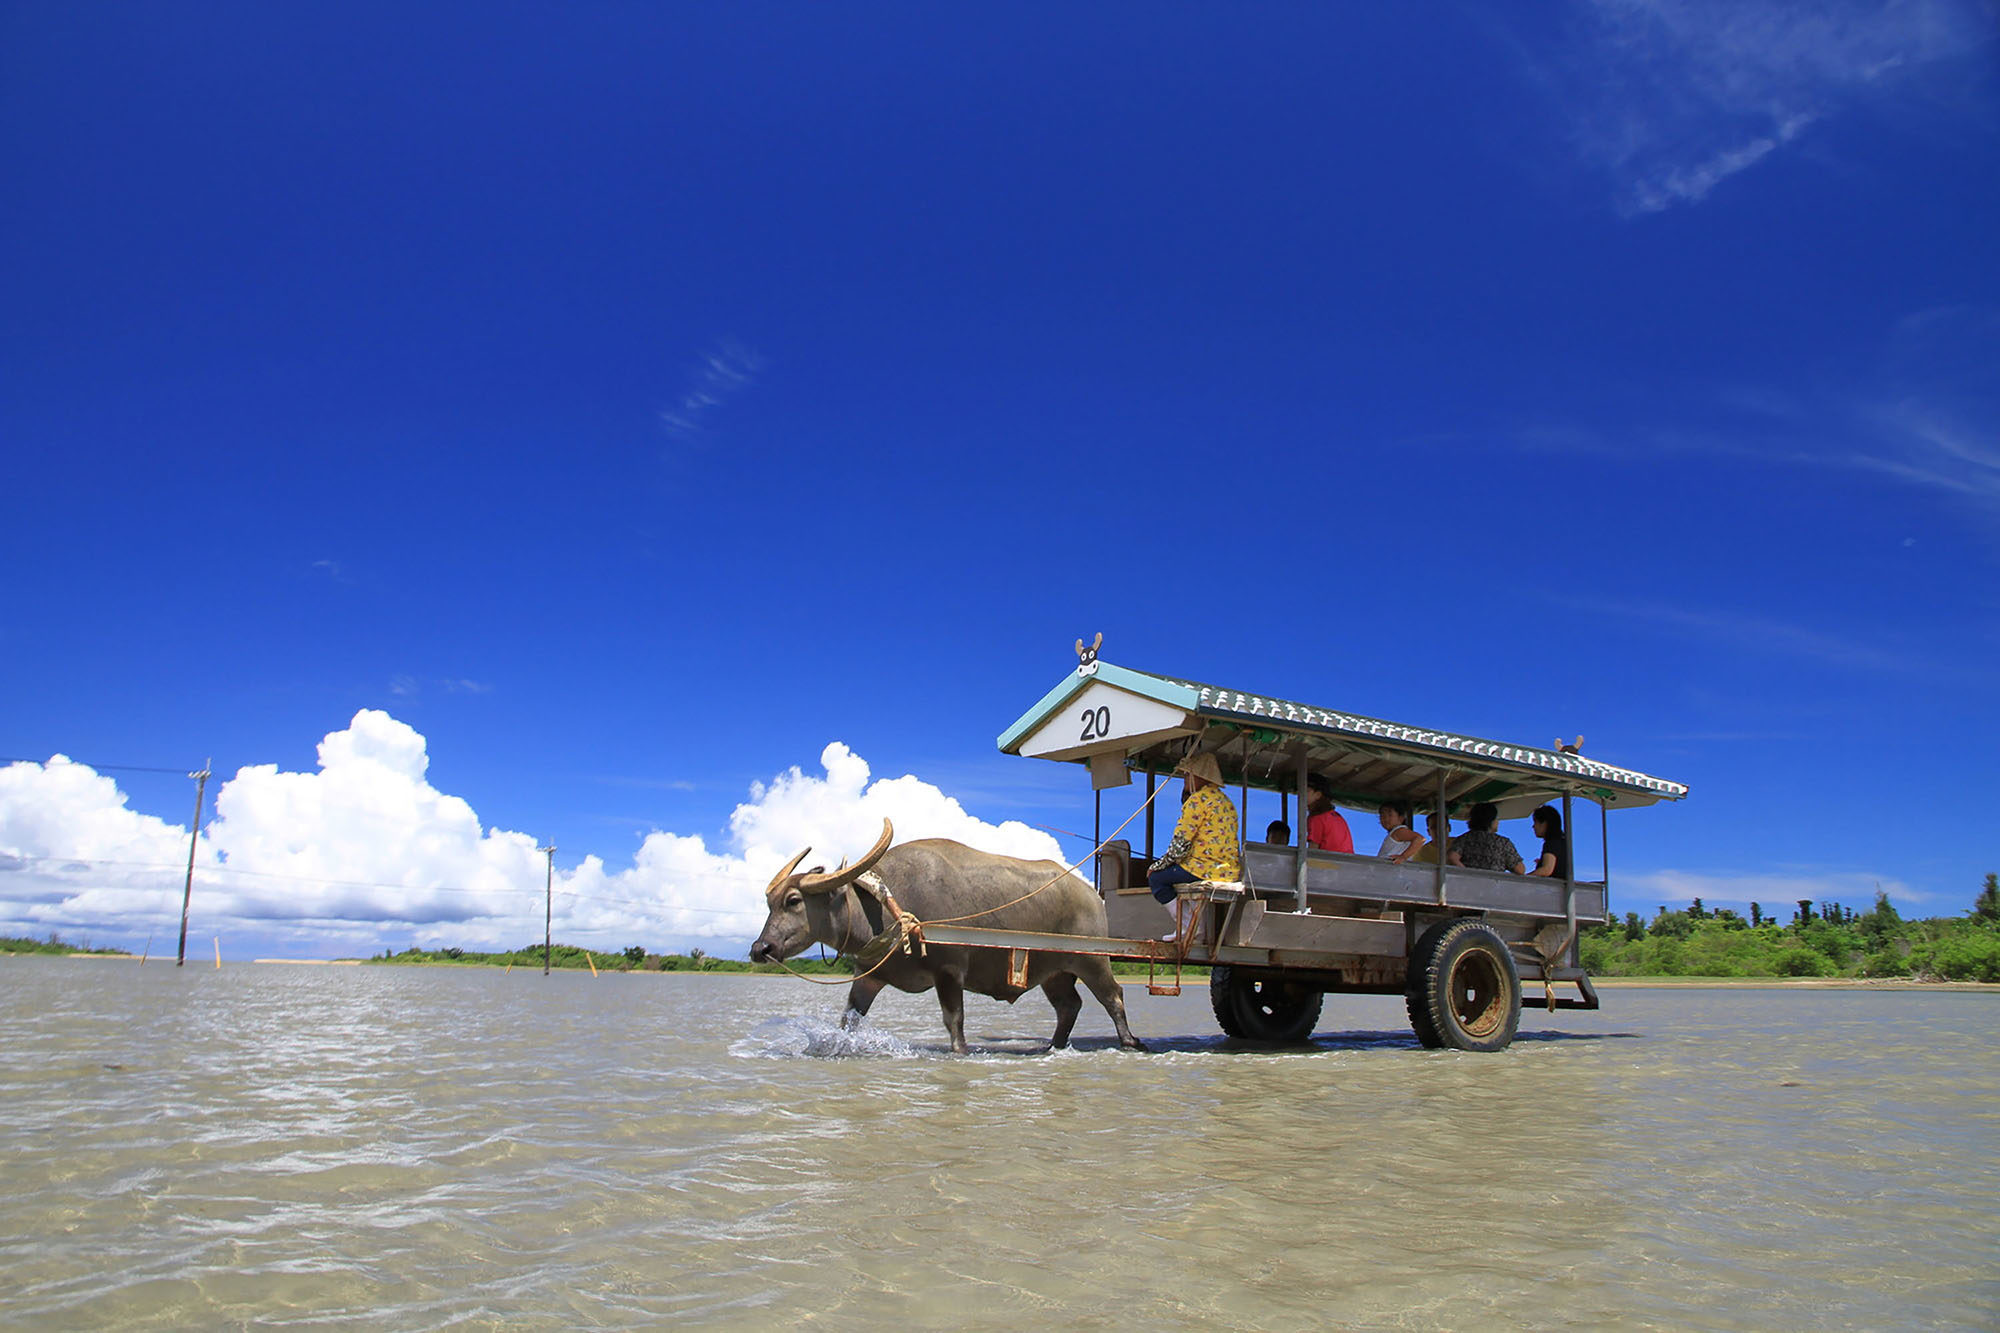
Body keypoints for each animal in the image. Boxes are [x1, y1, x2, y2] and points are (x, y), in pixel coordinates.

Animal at [752, 816, 1152, 1056]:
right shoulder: (868, 977)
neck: (889, 909)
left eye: (793, 900)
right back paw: (1052, 1046)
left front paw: (960, 1051)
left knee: (1112, 996)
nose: (760, 948)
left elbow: (953, 1019)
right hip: (1054, 972)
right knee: (1069, 1005)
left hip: (1092, 960)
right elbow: (849, 1020)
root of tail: (1092, 894)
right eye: (769, 902)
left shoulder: (949, 970)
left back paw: (1130, 1041)